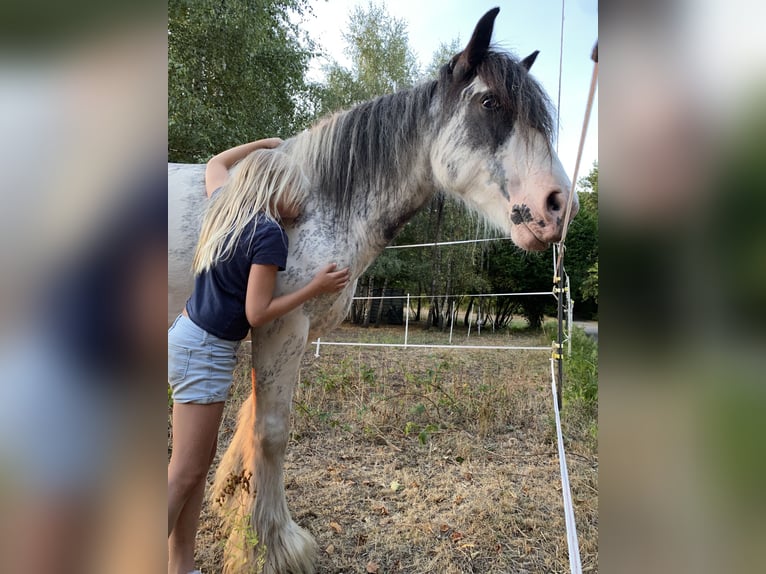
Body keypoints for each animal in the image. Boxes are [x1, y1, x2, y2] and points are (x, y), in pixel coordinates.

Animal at [166, 9, 576, 574]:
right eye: (491, 103)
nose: (560, 205)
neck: (313, 201)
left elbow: (250, 422)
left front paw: (234, 504)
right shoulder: (281, 325)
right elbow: (270, 430)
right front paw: (273, 547)